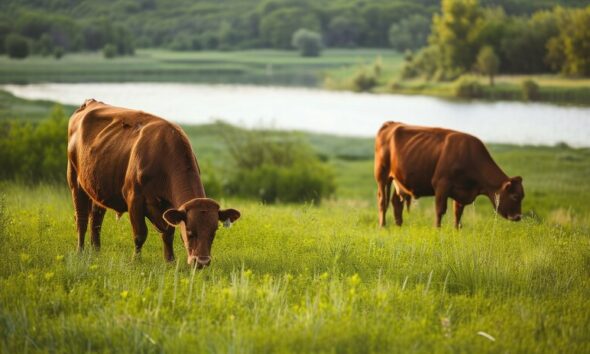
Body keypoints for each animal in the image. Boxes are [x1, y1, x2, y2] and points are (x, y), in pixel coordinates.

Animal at [66, 99, 239, 266]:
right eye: (190, 231)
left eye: (214, 232)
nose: (202, 262)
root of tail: (91, 102)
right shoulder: (134, 199)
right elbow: (140, 234)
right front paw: (136, 261)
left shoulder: (168, 208)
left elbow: (168, 233)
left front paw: (170, 261)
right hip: (75, 180)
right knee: (81, 218)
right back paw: (80, 252)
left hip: (97, 188)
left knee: (96, 220)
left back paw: (96, 252)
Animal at [376, 121, 524, 227]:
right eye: (515, 196)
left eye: (522, 196)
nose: (518, 217)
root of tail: (391, 124)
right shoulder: (442, 185)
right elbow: (440, 210)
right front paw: (437, 230)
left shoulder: (461, 191)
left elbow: (458, 213)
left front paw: (457, 230)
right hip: (382, 176)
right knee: (382, 201)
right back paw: (383, 226)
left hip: (399, 180)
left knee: (396, 202)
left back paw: (399, 225)